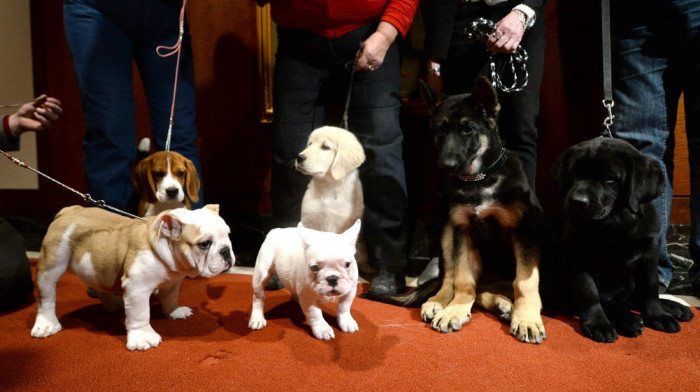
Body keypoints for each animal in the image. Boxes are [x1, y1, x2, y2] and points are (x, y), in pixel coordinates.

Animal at [30, 204, 234, 350]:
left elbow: (170, 297)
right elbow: (140, 313)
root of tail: (69, 211)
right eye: (204, 244)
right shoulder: (138, 288)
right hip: (52, 264)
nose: (226, 251)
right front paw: (143, 337)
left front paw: (174, 311)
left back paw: (113, 304)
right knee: (46, 296)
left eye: (228, 235)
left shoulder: (173, 281)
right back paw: (46, 324)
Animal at [364, 76, 548, 344]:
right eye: (440, 130)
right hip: (448, 232)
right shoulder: (463, 229)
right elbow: (462, 279)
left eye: (468, 129)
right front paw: (456, 309)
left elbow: (524, 281)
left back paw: (506, 305)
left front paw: (526, 319)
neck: (480, 179)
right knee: (451, 279)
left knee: (491, 286)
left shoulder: (525, 231)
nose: (446, 166)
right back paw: (440, 302)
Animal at [540, 139, 696, 344]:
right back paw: (628, 318)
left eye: (609, 179)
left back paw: (673, 307)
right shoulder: (575, 257)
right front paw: (597, 323)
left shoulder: (650, 253)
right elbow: (588, 291)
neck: (615, 221)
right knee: (599, 300)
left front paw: (658, 315)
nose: (577, 201)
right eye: (572, 174)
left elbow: (650, 286)